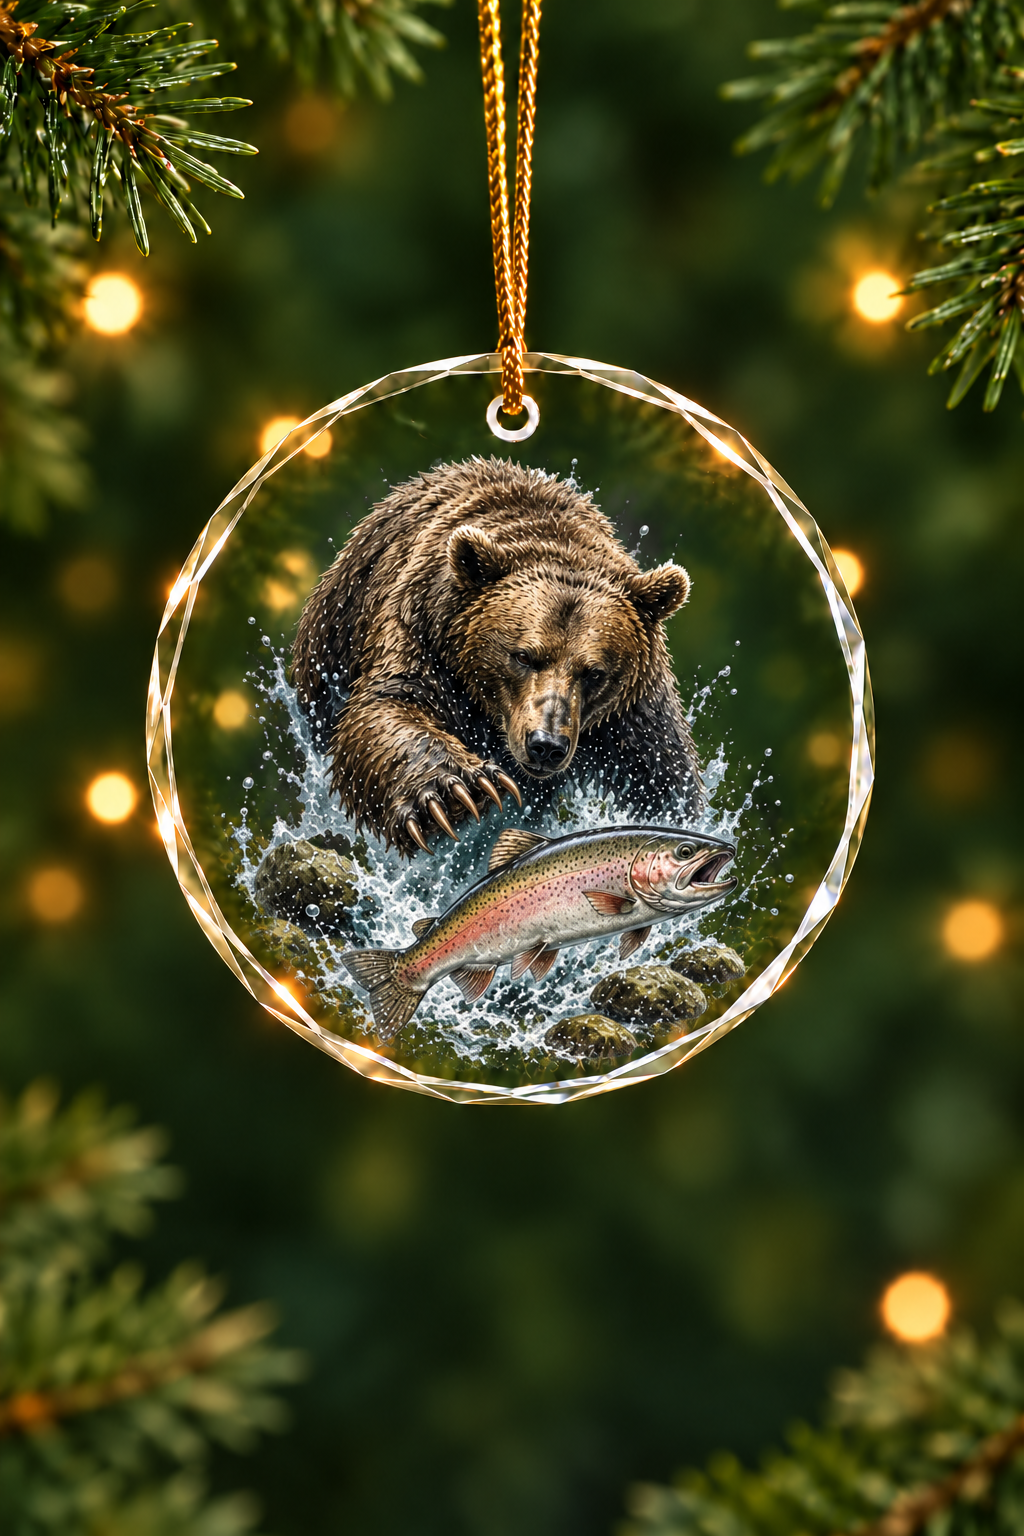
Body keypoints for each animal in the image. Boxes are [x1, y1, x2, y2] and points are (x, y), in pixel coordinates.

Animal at [292, 456, 702, 856]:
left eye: (594, 673)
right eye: (522, 656)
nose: (546, 746)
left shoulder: (630, 716)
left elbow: (664, 781)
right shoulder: (422, 633)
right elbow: (388, 705)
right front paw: (455, 791)